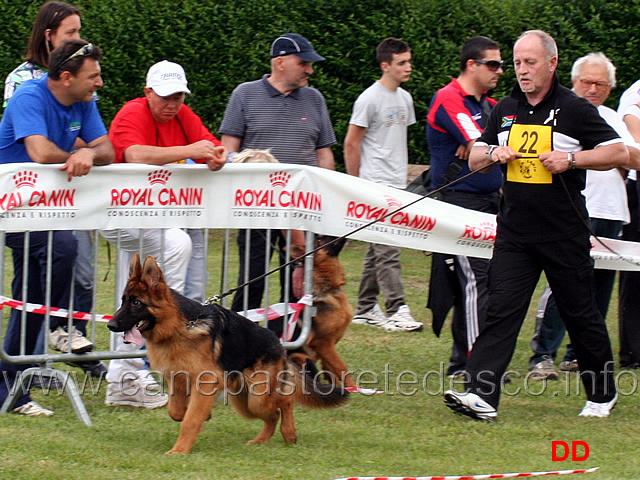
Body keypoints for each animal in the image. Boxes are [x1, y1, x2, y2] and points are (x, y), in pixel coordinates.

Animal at [107, 255, 348, 454]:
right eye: (123, 301)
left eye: (136, 303)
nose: (110, 325)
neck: (179, 327)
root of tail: (279, 345)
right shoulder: (178, 381)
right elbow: (176, 412)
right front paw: (198, 416)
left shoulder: (204, 383)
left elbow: (189, 420)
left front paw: (180, 450)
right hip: (243, 400)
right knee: (273, 414)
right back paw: (261, 440)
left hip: (258, 397)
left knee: (285, 401)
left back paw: (288, 433)